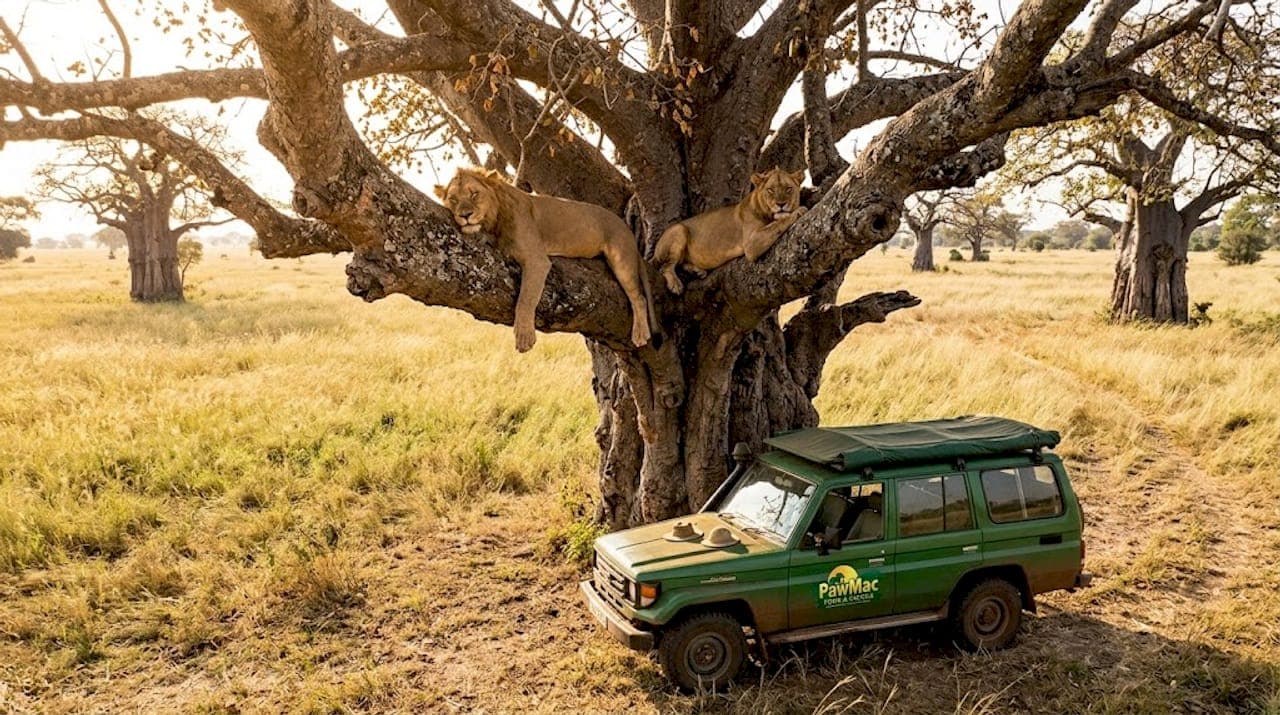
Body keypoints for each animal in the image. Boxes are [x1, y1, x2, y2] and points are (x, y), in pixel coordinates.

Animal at [434, 168, 656, 352]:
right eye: (453, 199)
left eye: (474, 194)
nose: (465, 215)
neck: (495, 220)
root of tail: (626, 227)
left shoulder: (537, 259)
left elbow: (526, 298)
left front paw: (524, 336)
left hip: (621, 259)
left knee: (639, 297)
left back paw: (640, 333)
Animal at [651, 167, 807, 294]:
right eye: (771, 190)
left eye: (788, 188)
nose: (781, 204)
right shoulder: (751, 244)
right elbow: (777, 224)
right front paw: (798, 211)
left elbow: (775, 223)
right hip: (679, 229)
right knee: (665, 266)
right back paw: (675, 284)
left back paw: (697, 271)